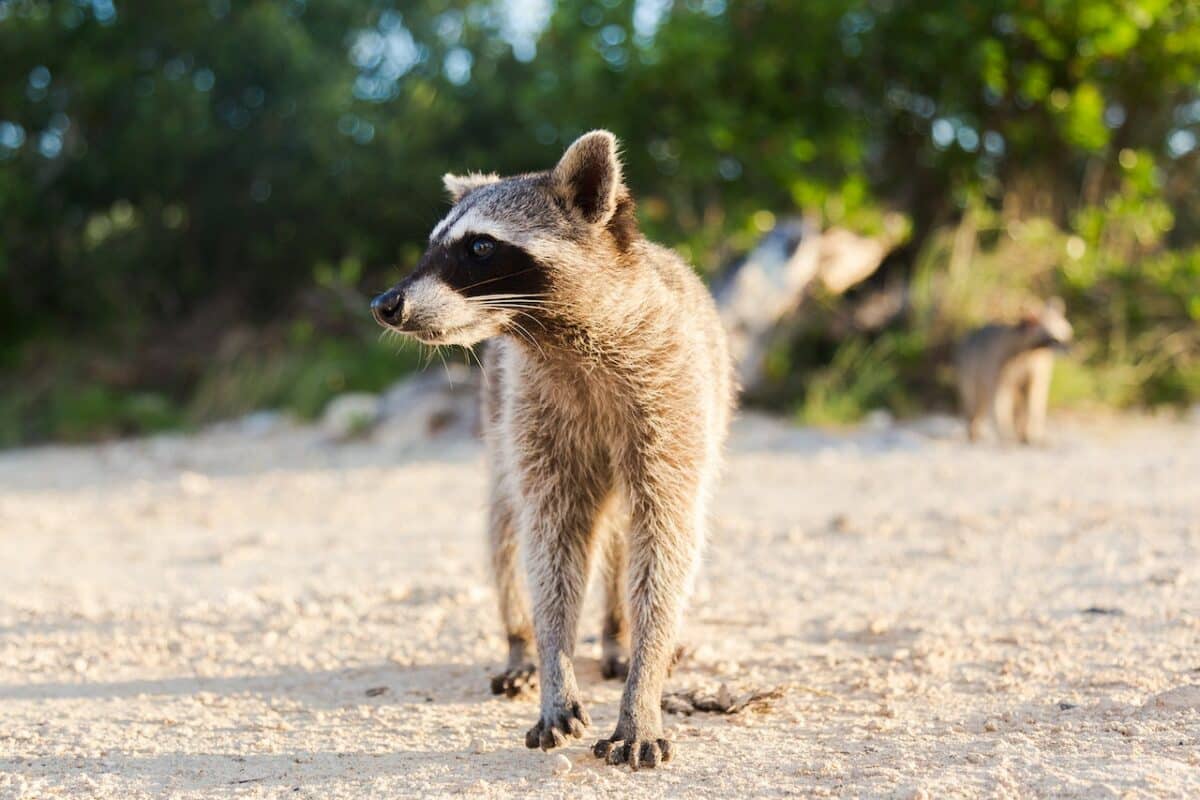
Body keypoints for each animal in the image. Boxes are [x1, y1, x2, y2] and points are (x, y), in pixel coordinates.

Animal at [369, 130, 734, 767]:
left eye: (480, 246)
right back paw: (519, 642)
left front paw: (644, 685)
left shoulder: (672, 398)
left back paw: (617, 635)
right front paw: (551, 660)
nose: (386, 304)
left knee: (622, 536)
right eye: (433, 245)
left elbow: (665, 543)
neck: (563, 337)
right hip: (497, 423)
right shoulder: (534, 410)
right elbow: (550, 540)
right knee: (504, 527)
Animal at [960, 298, 1075, 448]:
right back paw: (973, 429)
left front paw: (1034, 435)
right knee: (975, 399)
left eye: (1068, 334)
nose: (1071, 350)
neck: (1030, 350)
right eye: (1053, 339)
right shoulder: (998, 362)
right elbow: (999, 398)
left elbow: (1035, 399)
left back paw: (1022, 433)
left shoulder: (1037, 367)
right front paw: (1005, 433)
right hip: (971, 367)